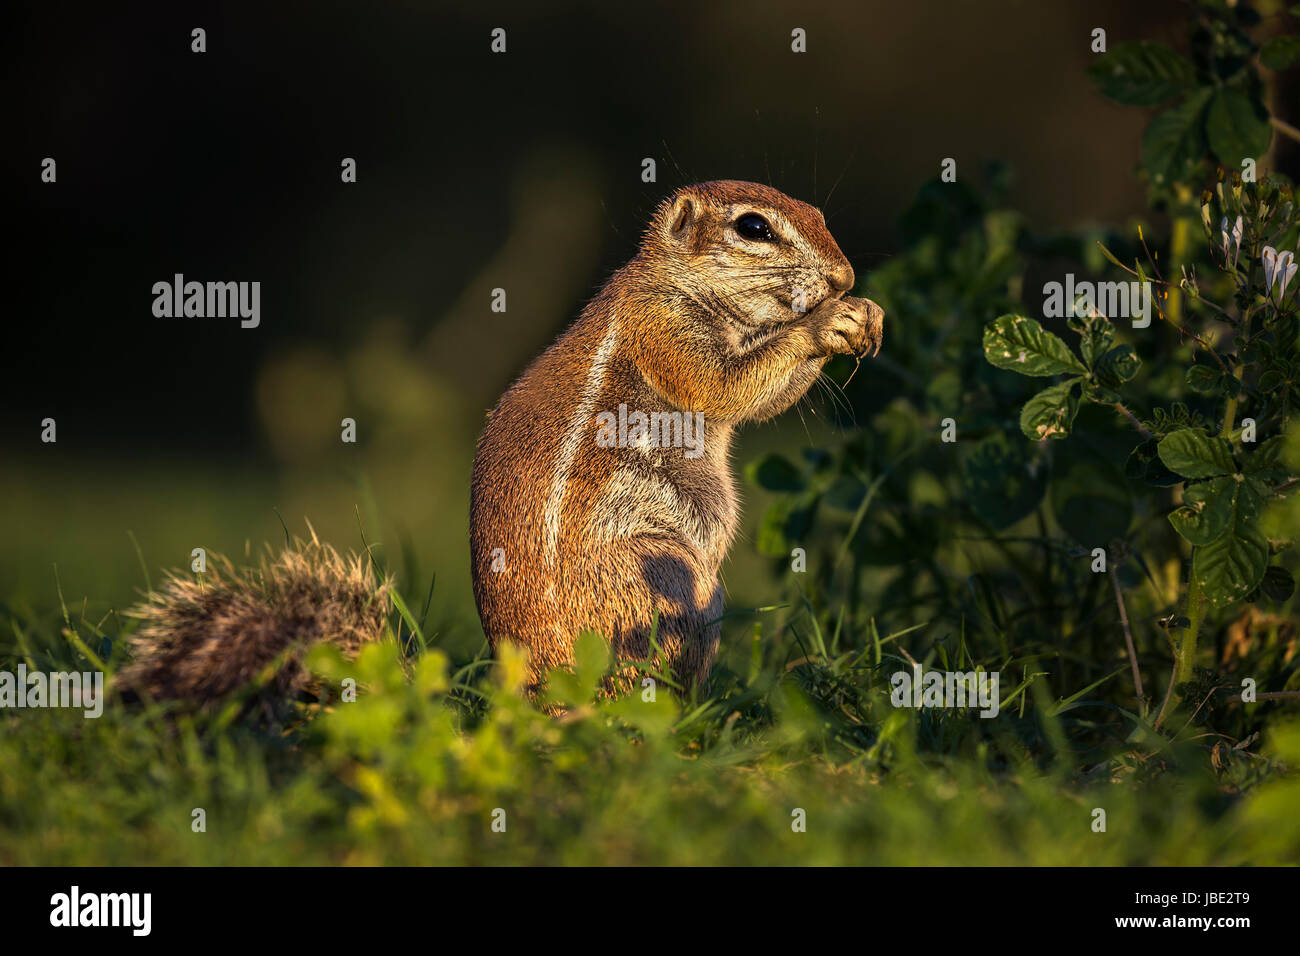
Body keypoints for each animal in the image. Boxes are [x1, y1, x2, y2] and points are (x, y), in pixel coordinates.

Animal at [470, 180, 883, 697]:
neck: (673, 278)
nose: (844, 279)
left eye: (816, 214)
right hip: (664, 574)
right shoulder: (664, 326)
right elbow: (723, 384)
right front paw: (825, 323)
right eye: (754, 227)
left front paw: (868, 313)